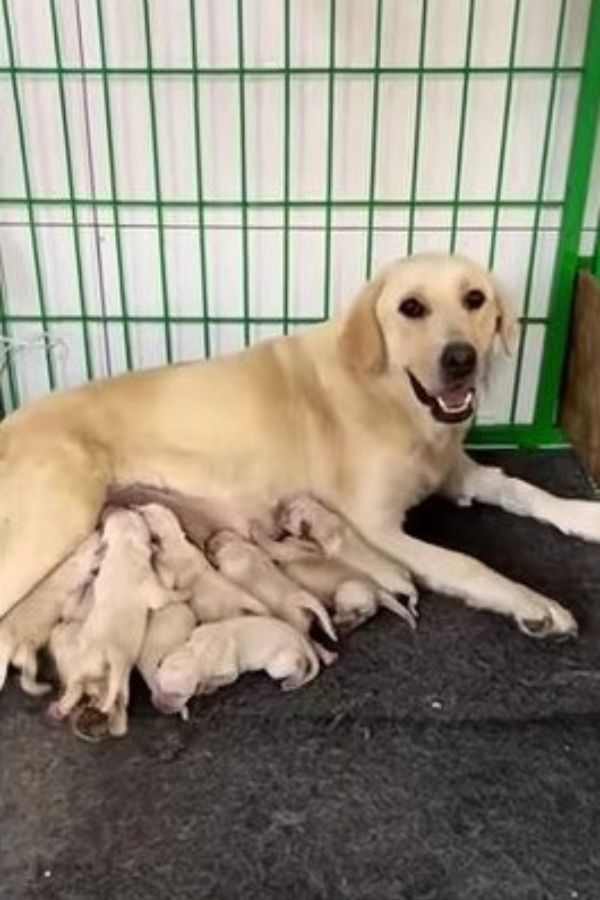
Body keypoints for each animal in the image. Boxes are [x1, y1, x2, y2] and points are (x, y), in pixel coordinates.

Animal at [0, 255, 596, 640]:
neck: (391, 396)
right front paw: (534, 603)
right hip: (55, 521)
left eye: (475, 299)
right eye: (411, 308)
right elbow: (469, 563)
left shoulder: (458, 473)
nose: (461, 359)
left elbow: (523, 489)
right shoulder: (377, 527)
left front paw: (584, 515)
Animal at [0, 536, 101, 696]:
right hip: (26, 652)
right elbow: (75, 607)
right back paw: (43, 687)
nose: (99, 531)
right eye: (96, 550)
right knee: (26, 677)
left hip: (25, 653)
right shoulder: (69, 599)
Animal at [51, 506, 176, 732]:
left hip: (93, 676)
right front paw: (184, 594)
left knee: (83, 693)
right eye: (138, 516)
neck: (123, 548)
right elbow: (168, 596)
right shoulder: (153, 591)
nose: (120, 506)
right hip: (113, 659)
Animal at [155, 616, 324, 712]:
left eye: (179, 695)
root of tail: (299, 637)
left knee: (300, 664)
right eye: (157, 686)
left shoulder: (229, 672)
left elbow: (220, 678)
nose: (160, 708)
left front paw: (206, 688)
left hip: (277, 665)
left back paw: (293, 680)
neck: (197, 651)